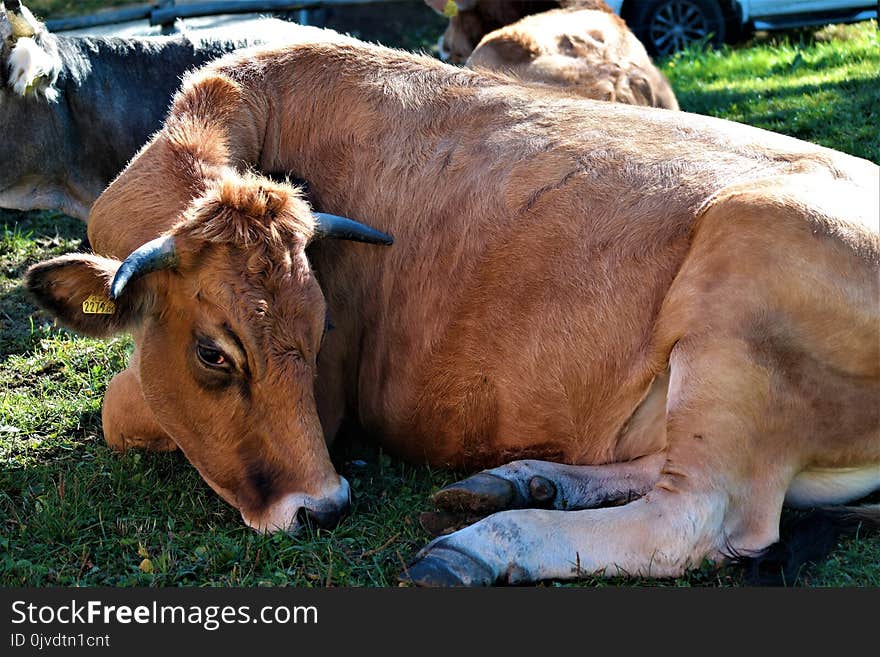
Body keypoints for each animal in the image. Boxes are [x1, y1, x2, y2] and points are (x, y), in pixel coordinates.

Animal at [24, 28, 876, 588]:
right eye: (212, 352)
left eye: (323, 328)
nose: (324, 506)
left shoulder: (323, 403)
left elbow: (120, 406)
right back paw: (523, 481)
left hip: (744, 275)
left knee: (700, 517)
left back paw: (485, 544)